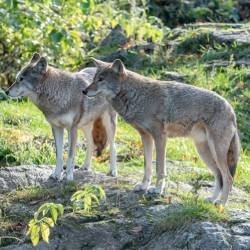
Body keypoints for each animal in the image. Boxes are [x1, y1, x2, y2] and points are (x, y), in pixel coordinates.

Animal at [5, 53, 117, 181]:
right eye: (17, 78)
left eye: (21, 79)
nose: (6, 92)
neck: (58, 95)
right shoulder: (56, 128)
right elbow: (58, 154)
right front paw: (56, 175)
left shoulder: (72, 129)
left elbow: (70, 155)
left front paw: (68, 176)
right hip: (85, 126)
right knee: (91, 144)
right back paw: (85, 167)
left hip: (108, 124)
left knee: (113, 146)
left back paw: (113, 171)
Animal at [84, 58, 240, 205]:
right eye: (94, 78)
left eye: (101, 79)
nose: (84, 91)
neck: (138, 96)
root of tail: (231, 110)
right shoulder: (146, 137)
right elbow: (147, 166)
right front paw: (144, 186)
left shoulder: (160, 137)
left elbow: (160, 168)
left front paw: (157, 190)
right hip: (204, 152)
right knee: (219, 175)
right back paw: (212, 200)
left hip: (216, 152)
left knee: (228, 177)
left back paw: (221, 203)